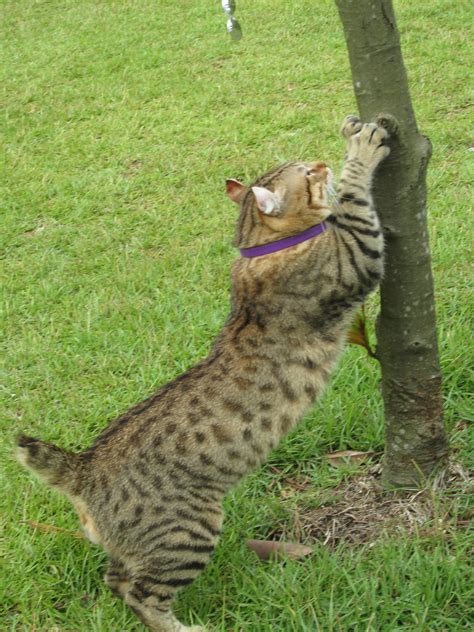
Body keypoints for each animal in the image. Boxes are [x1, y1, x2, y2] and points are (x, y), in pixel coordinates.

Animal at [16, 116, 390, 628]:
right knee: (141, 594)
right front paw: (361, 147)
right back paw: (181, 625)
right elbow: (355, 198)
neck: (258, 247)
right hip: (188, 533)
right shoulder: (358, 254)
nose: (320, 161)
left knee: (115, 578)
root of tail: (84, 468)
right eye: (308, 174)